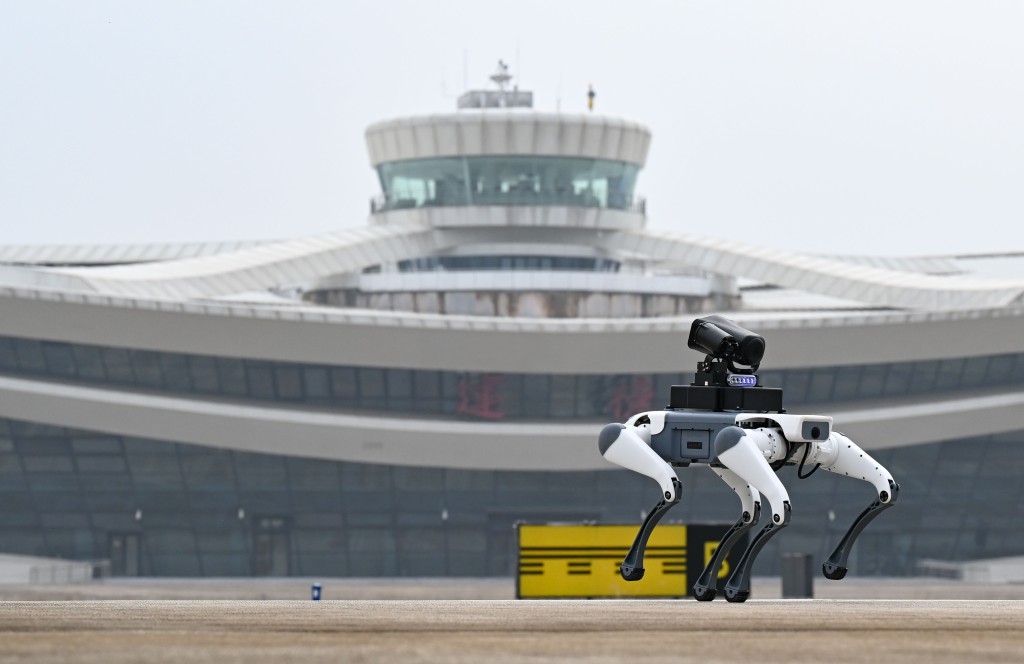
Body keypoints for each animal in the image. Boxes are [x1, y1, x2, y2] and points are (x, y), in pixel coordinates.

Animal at [598, 315, 897, 602]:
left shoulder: (733, 445)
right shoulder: (724, 447)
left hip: (731, 453)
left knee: (768, 508)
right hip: (724, 455)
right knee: (749, 506)